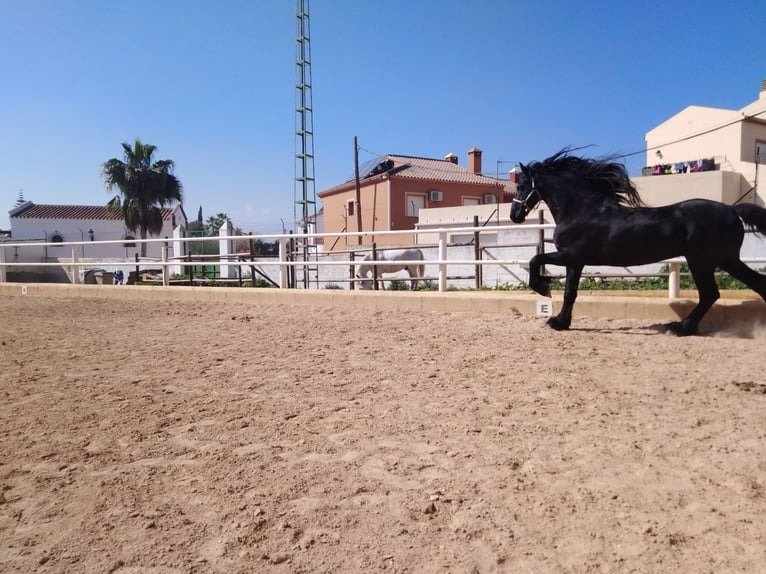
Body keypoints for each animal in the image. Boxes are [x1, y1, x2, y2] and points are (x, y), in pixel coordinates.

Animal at [510, 149, 766, 335]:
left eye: (522, 186)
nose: (514, 215)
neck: (581, 210)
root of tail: (732, 210)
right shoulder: (575, 261)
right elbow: (566, 289)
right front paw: (560, 320)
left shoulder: (571, 256)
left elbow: (538, 262)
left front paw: (545, 294)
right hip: (724, 260)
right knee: (752, 285)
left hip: (703, 261)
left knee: (710, 294)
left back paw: (681, 328)